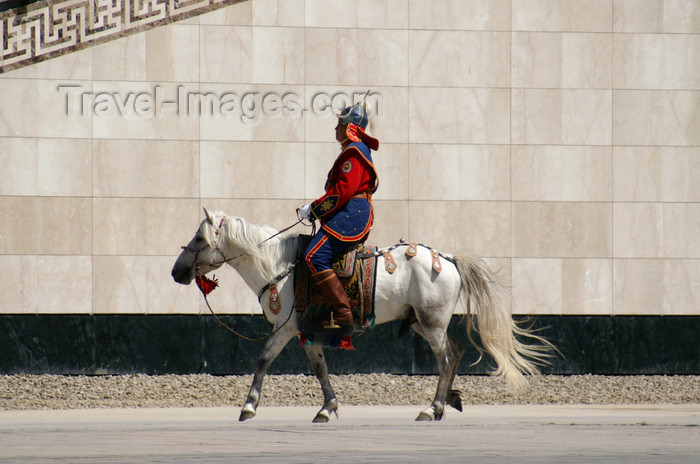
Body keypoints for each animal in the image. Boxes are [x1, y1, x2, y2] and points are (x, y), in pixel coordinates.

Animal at [171, 209, 552, 420]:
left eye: (199, 238)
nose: (177, 272)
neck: (279, 266)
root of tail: (448, 259)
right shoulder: (306, 330)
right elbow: (320, 368)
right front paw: (328, 407)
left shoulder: (285, 326)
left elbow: (263, 360)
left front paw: (249, 406)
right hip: (422, 321)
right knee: (456, 351)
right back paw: (447, 401)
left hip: (430, 322)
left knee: (445, 359)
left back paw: (432, 408)